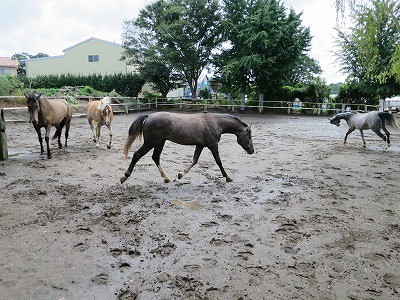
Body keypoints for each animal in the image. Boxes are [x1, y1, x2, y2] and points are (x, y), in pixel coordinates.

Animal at [120, 111, 255, 184]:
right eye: (249, 136)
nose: (252, 151)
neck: (215, 122)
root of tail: (148, 116)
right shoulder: (213, 145)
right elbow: (218, 161)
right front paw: (228, 177)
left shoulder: (200, 145)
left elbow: (194, 160)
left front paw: (180, 175)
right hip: (151, 142)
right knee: (137, 155)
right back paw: (124, 177)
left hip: (160, 142)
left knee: (155, 157)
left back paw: (166, 178)